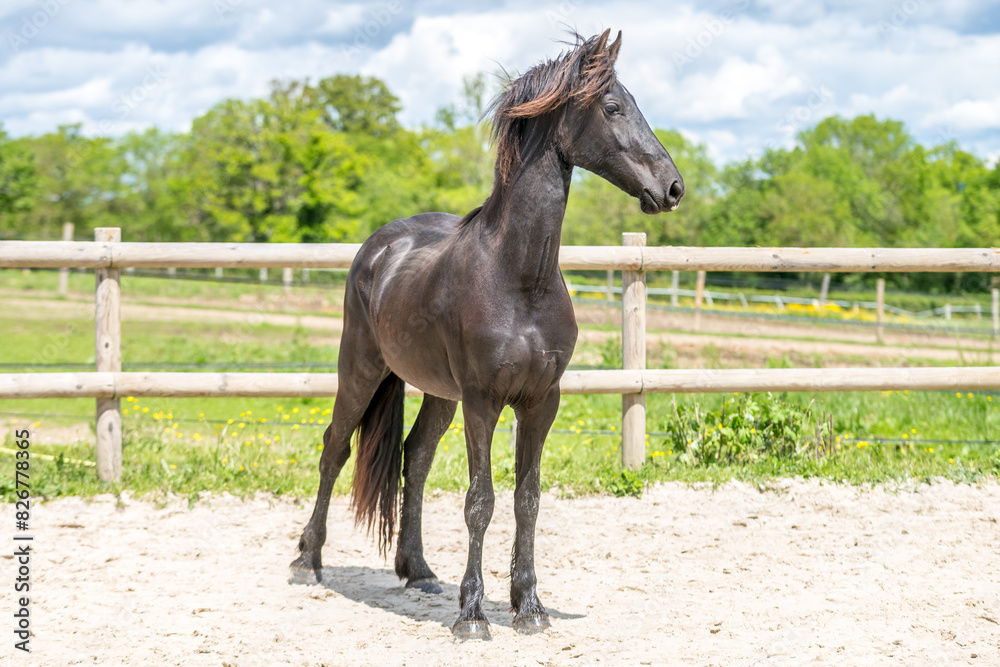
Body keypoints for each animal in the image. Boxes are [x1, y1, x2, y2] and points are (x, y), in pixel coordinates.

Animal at [290, 29, 684, 640]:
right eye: (613, 106)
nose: (672, 188)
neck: (520, 279)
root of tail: (379, 245)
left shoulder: (541, 401)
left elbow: (528, 499)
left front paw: (530, 607)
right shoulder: (483, 401)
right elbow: (481, 500)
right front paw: (473, 616)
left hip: (437, 392)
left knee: (415, 458)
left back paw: (420, 571)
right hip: (360, 368)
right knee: (335, 448)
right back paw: (308, 562)